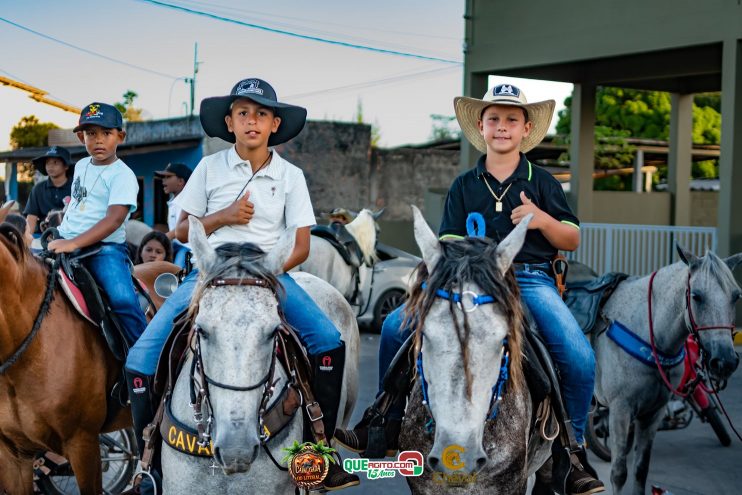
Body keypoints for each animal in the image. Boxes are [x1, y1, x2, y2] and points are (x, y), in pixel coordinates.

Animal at [596, 248, 740, 495]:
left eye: (736, 296)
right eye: (697, 296)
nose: (725, 361)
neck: (645, 329)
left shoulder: (653, 412)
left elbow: (641, 470)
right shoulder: (620, 410)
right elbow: (619, 473)